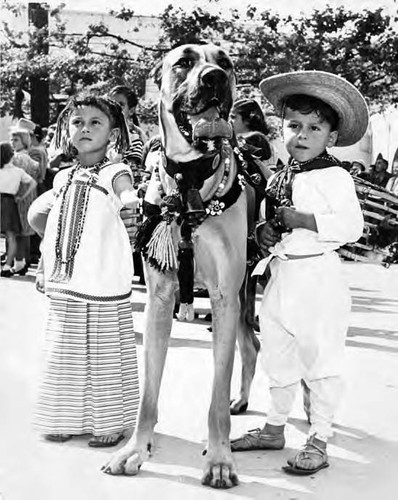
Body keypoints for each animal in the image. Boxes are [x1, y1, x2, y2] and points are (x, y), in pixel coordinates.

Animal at [102, 42, 262, 488]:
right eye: (184, 62)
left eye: (225, 62)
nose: (215, 78)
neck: (190, 182)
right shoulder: (160, 300)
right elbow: (148, 393)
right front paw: (136, 449)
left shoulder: (223, 297)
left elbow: (215, 397)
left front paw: (220, 459)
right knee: (250, 345)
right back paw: (242, 400)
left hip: (244, 295)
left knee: (254, 346)